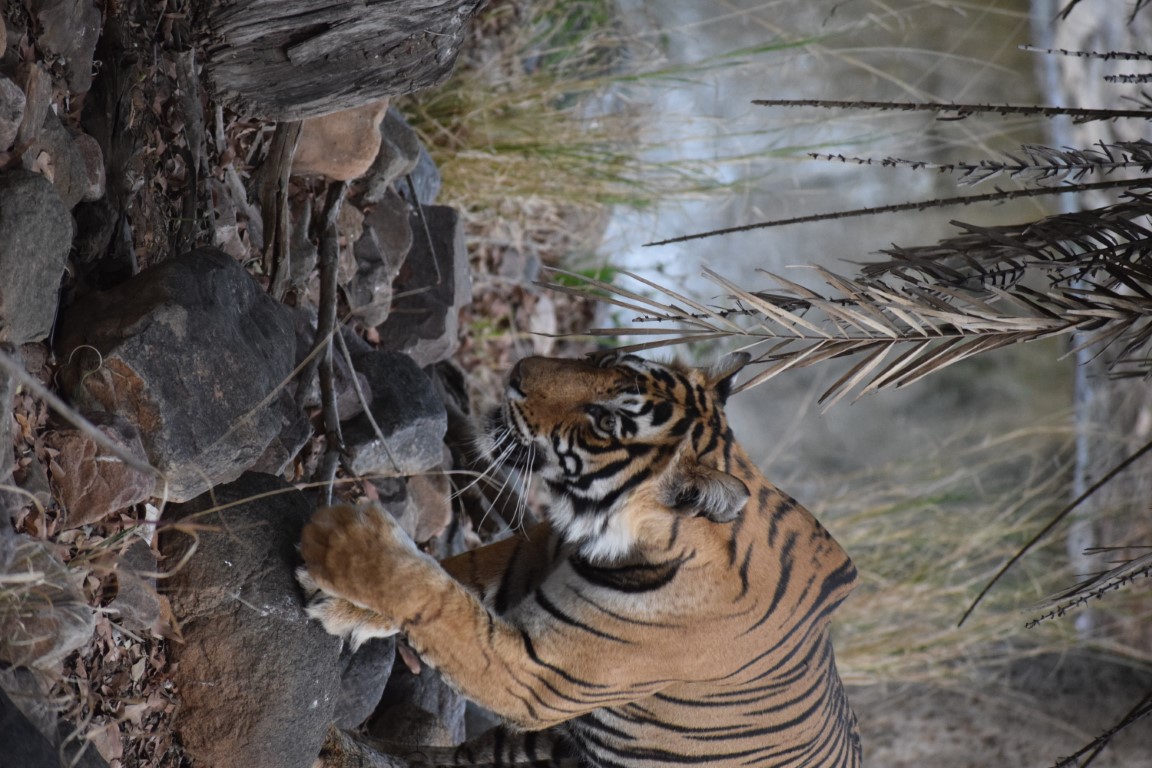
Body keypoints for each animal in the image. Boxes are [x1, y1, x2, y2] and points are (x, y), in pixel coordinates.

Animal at [298, 352, 861, 767]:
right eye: (605, 359)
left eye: (607, 421)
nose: (518, 373)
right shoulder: (532, 554)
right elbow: (451, 576)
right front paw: (347, 604)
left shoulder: (535, 675)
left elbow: (439, 600)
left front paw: (346, 547)